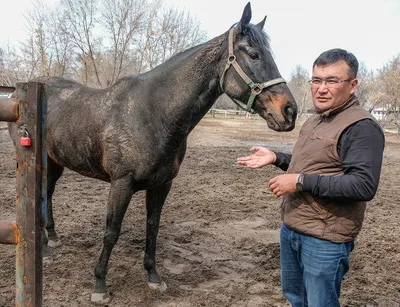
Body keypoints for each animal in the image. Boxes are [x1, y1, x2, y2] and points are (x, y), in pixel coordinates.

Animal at [8, 1, 296, 306]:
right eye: (253, 54)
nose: (290, 111)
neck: (154, 113)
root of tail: (20, 92)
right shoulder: (121, 183)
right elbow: (111, 232)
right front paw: (99, 285)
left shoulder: (162, 185)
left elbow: (152, 228)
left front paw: (153, 277)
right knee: (40, 197)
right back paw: (44, 251)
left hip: (55, 162)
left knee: (48, 195)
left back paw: (52, 238)